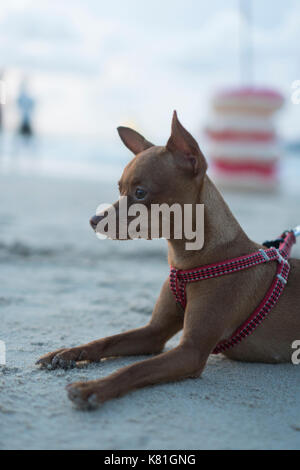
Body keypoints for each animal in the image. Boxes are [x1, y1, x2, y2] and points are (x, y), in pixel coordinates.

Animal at [37, 112, 300, 410]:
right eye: (119, 189)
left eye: (140, 193)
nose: (93, 220)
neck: (192, 262)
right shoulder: (153, 333)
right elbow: (106, 340)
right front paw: (68, 352)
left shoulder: (191, 351)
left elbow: (134, 368)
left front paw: (92, 387)